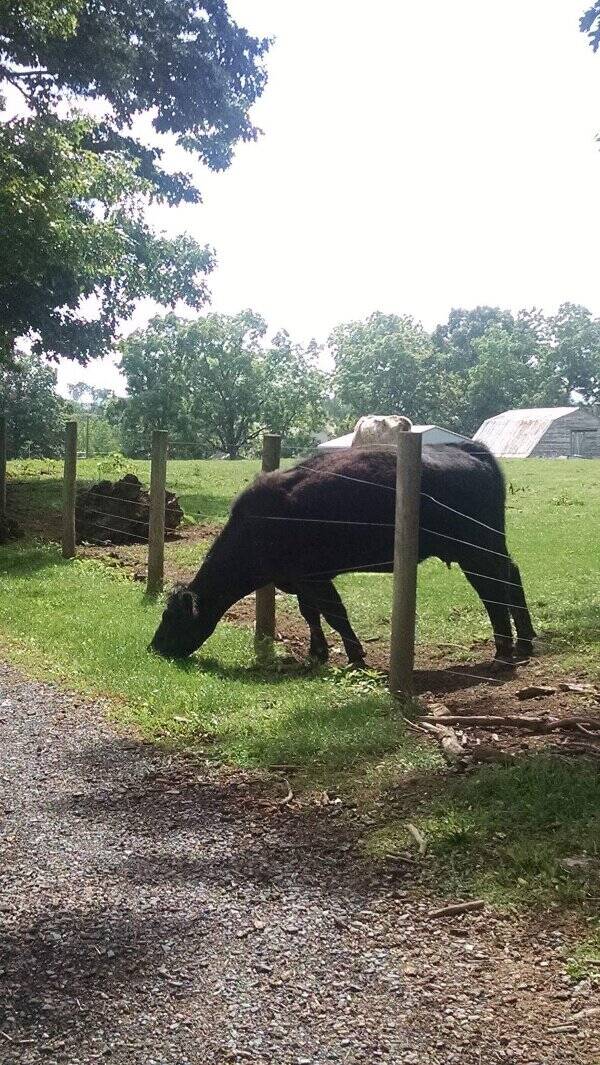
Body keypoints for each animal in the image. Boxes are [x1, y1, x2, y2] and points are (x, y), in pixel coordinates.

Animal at [149, 440, 534, 664]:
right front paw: (317, 652)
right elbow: (311, 613)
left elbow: (335, 613)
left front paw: (355, 655)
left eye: (172, 617)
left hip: (476, 547)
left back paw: (504, 650)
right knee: (511, 575)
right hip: (490, 544)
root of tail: (471, 449)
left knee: (492, 589)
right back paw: (525, 641)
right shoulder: (299, 579)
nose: (154, 647)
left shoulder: (315, 576)